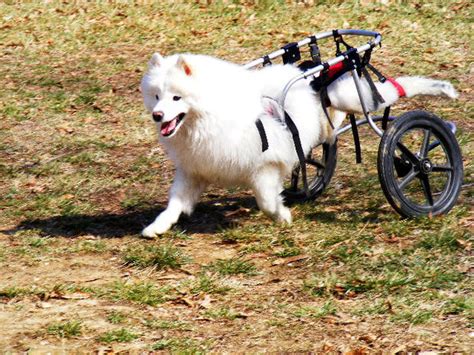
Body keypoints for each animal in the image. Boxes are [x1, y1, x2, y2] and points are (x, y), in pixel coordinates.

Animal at [140, 52, 456, 236]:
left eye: (177, 98)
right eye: (156, 96)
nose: (158, 116)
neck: (209, 116)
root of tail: (315, 70)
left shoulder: (264, 165)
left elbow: (267, 202)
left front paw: (282, 216)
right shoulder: (195, 169)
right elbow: (175, 203)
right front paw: (157, 226)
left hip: (351, 97)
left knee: (389, 95)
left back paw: (443, 96)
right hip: (330, 114)